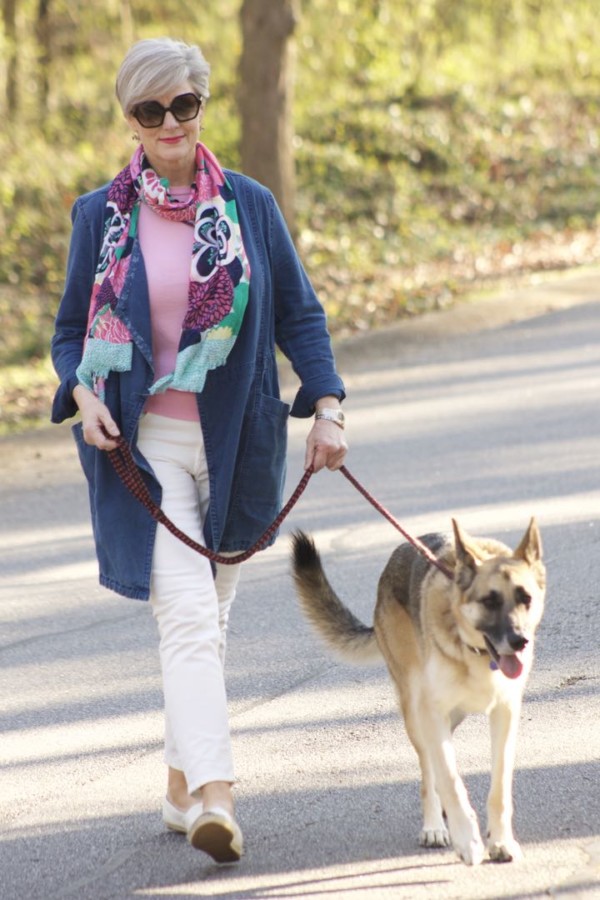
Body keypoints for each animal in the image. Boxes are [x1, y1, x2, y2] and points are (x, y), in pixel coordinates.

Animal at [290, 520, 544, 864]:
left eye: (525, 598)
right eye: (489, 601)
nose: (520, 641)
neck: (474, 651)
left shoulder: (505, 715)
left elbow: (499, 786)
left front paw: (502, 841)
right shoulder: (432, 714)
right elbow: (450, 780)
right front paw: (467, 839)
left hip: (452, 716)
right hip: (415, 712)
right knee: (428, 770)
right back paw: (435, 825)